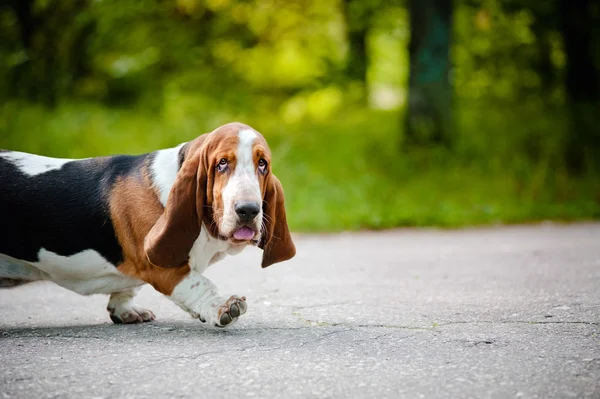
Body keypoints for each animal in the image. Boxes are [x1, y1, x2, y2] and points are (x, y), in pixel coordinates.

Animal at [0, 122, 296, 328]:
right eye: (222, 163)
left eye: (262, 164)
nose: (248, 210)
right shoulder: (163, 267)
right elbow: (199, 284)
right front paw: (221, 307)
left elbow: (128, 288)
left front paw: (124, 310)